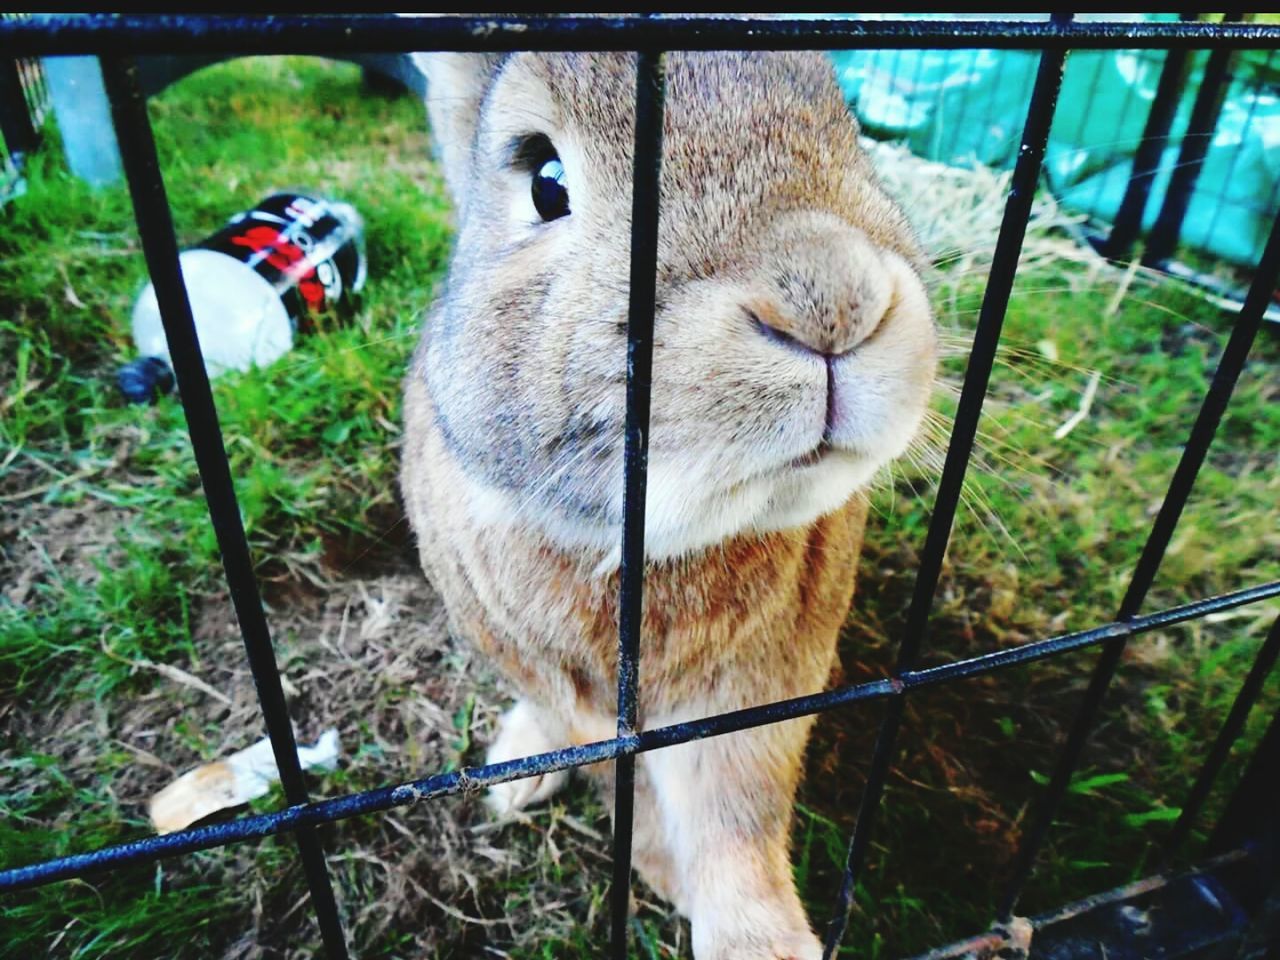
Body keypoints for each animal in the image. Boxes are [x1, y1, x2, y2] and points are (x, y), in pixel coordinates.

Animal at [401, 45, 942, 960]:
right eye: (544, 179)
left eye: (846, 125)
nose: (830, 300)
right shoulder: (575, 698)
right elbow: (636, 798)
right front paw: (663, 876)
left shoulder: (762, 693)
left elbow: (736, 821)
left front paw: (763, 943)